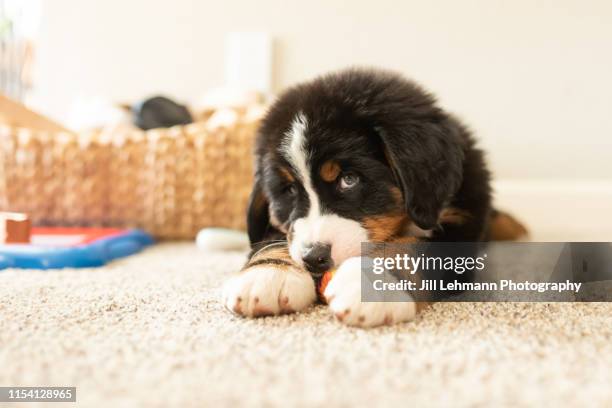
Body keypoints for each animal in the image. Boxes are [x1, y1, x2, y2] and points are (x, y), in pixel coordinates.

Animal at [221, 67, 524, 328]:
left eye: (349, 179)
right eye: (289, 190)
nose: (314, 258)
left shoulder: (462, 223)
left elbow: (412, 249)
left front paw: (369, 282)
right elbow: (274, 237)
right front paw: (268, 274)